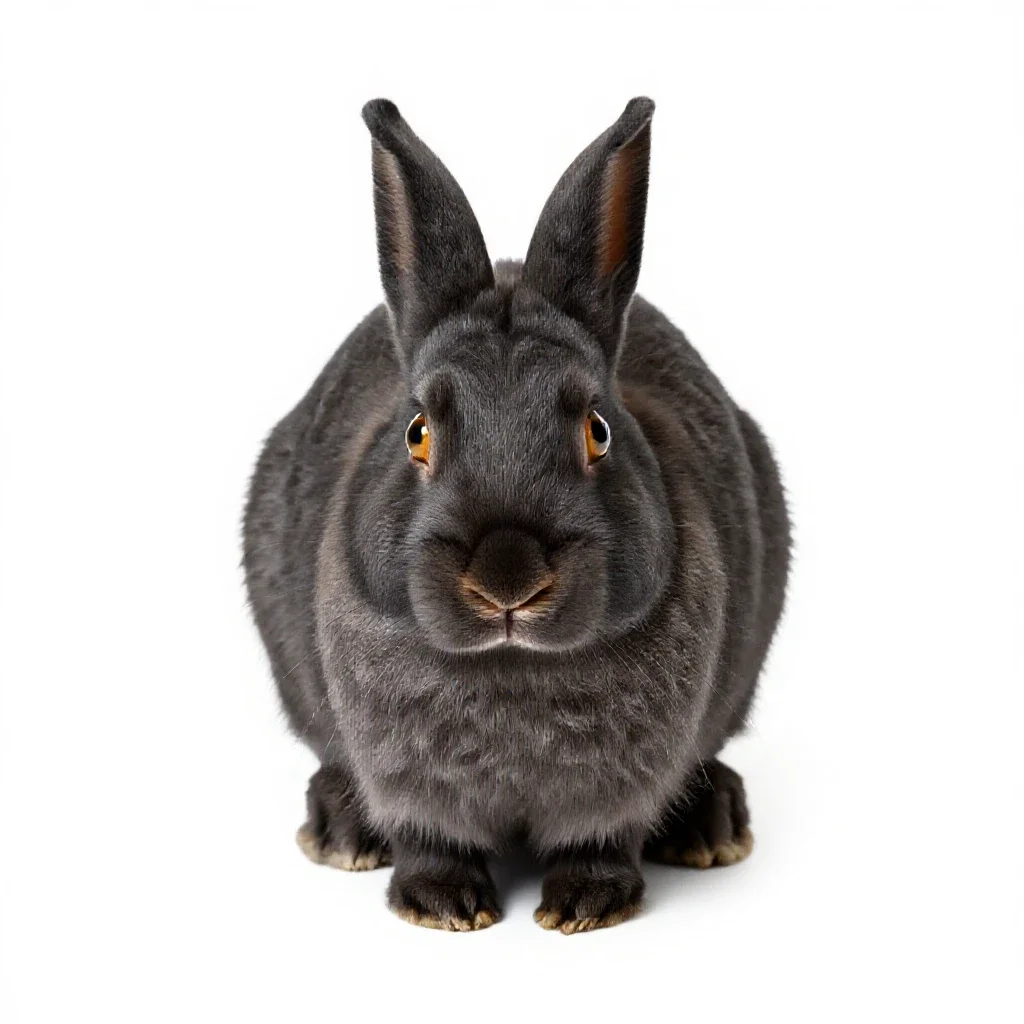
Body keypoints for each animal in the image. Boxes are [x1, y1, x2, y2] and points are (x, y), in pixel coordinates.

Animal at [243, 96, 790, 934]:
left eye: (598, 430)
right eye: (418, 432)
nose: (507, 577)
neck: (511, 668)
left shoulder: (621, 786)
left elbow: (602, 837)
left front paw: (586, 905)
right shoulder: (406, 778)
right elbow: (428, 835)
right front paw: (441, 904)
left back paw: (712, 826)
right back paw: (338, 831)